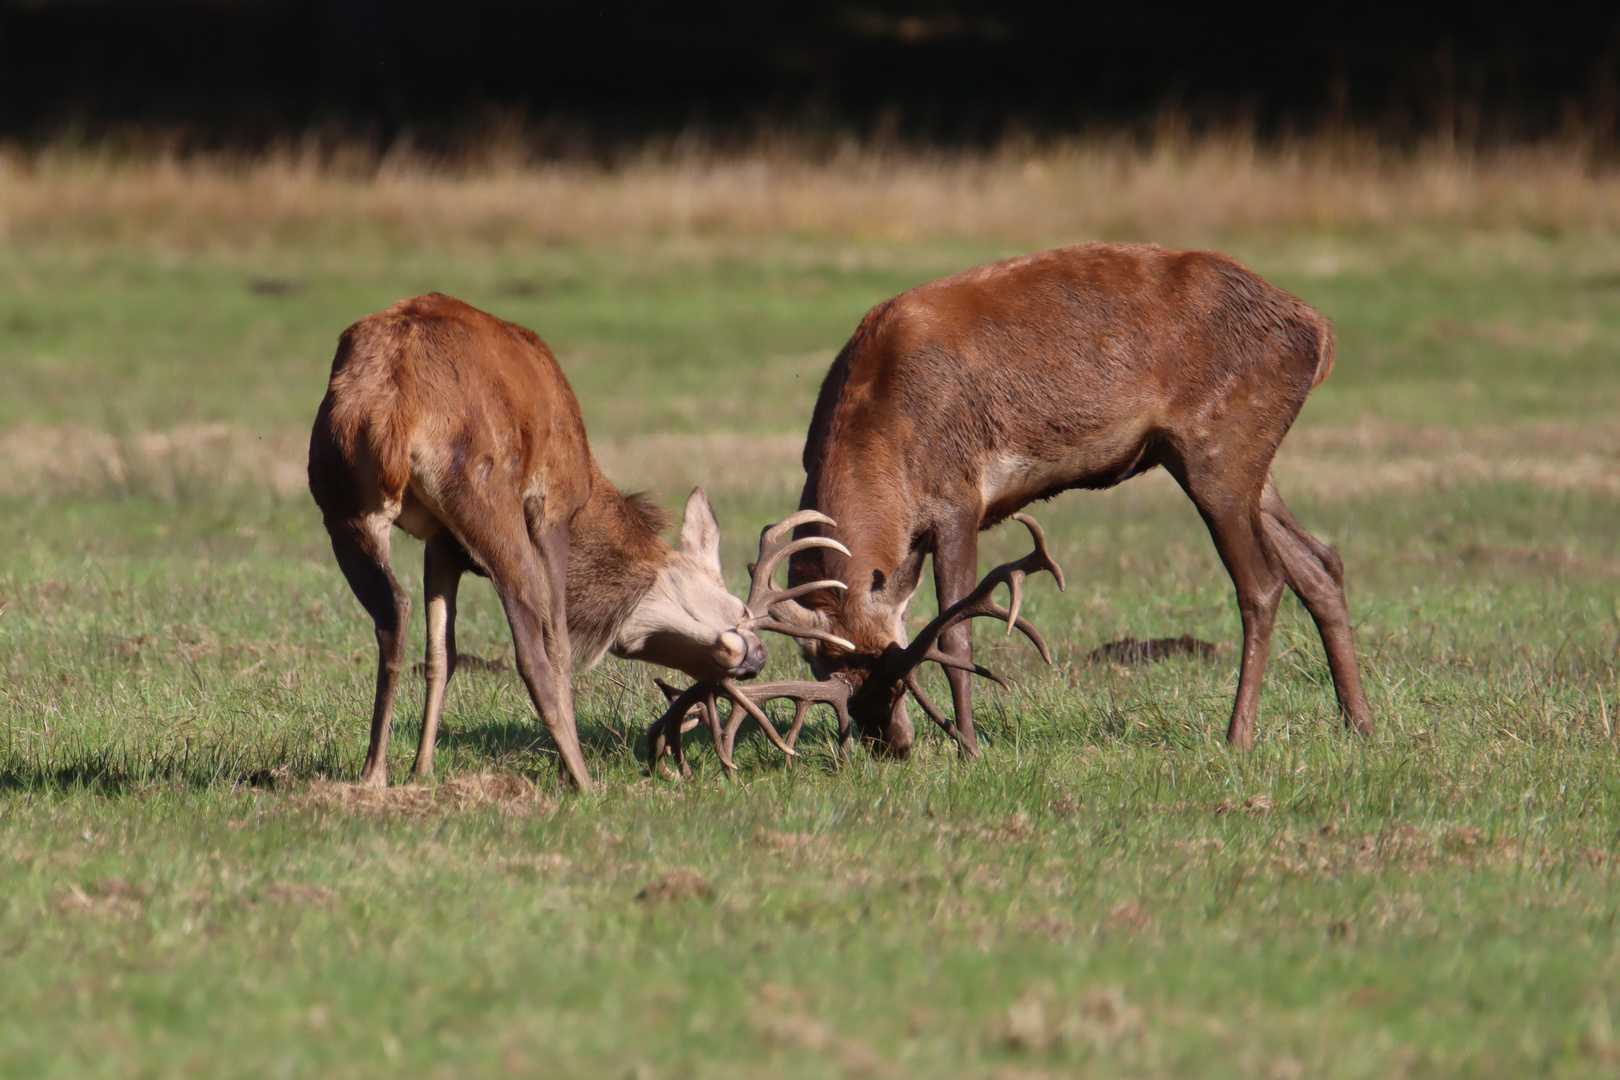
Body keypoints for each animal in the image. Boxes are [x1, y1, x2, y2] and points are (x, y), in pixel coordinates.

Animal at [311, 291, 784, 790]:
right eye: (741, 608)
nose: (758, 659)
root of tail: (393, 410)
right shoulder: (554, 505)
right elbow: (559, 643)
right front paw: (565, 767)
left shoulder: (441, 543)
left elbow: (442, 654)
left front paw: (422, 769)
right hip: (488, 499)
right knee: (530, 651)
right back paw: (584, 779)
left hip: (341, 505)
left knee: (393, 613)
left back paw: (373, 773)